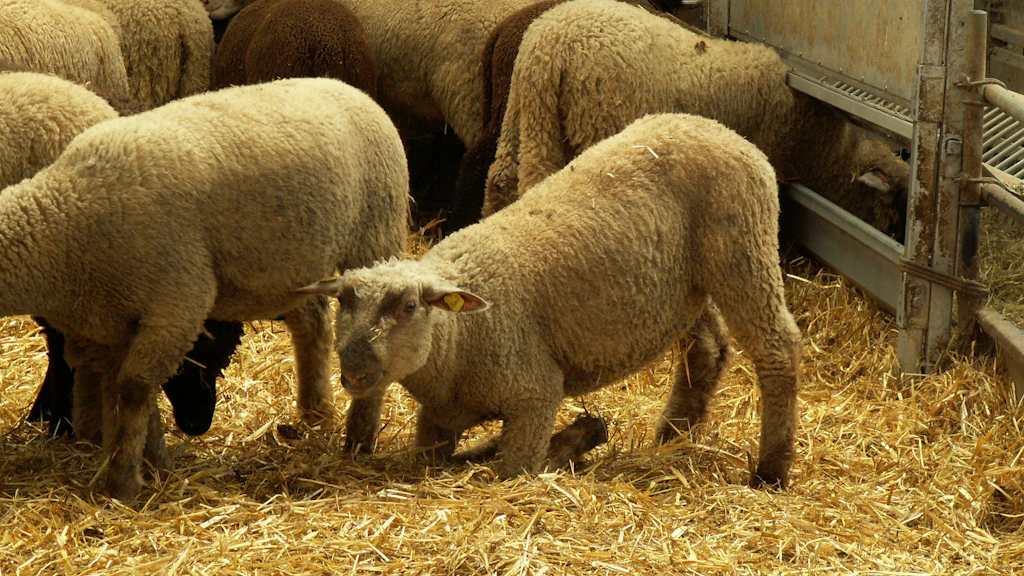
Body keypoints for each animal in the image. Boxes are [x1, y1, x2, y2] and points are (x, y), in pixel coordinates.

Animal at [0, 78, 410, 500]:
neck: (63, 219)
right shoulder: (114, 322)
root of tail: (347, 86)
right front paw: (151, 464)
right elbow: (127, 393)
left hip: (375, 237)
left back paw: (359, 438)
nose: (198, 425)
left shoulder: (178, 301)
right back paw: (315, 412)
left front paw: (124, 481)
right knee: (313, 325)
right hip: (296, 266)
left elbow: (134, 389)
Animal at [301, 113, 803, 488]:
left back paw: (771, 471)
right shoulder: (438, 419)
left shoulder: (534, 395)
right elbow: (437, 459)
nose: (355, 371)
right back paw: (673, 437)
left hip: (743, 250)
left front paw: (574, 441)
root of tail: (723, 131)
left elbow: (514, 469)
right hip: (689, 288)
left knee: (778, 347)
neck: (459, 335)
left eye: (408, 307)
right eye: (343, 301)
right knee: (707, 348)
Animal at [482, 0, 910, 239]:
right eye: (893, 200)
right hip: (594, 124)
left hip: (521, 114)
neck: (820, 144)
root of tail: (549, 43)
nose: (891, 231)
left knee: (500, 181)